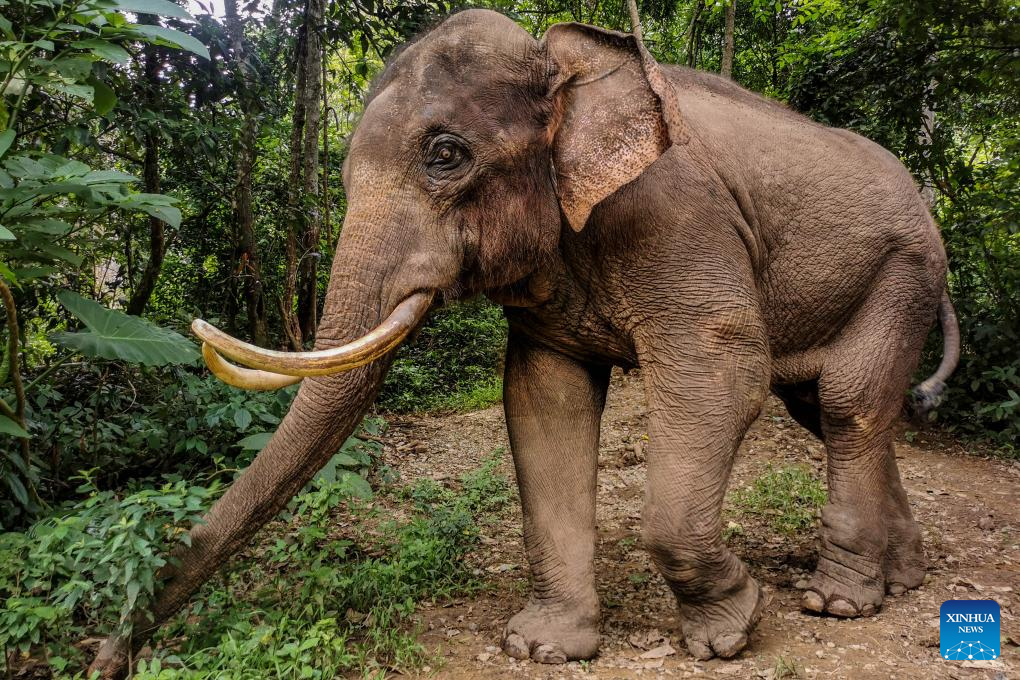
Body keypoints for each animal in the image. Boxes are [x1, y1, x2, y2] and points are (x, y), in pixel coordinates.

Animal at [87, 6, 954, 676]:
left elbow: (723, 372)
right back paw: (900, 580)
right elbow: (545, 401)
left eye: (445, 155)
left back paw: (839, 600)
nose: (107, 660)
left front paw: (729, 634)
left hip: (906, 268)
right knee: (834, 406)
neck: (568, 64)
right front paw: (543, 649)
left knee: (844, 402)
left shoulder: (679, 216)